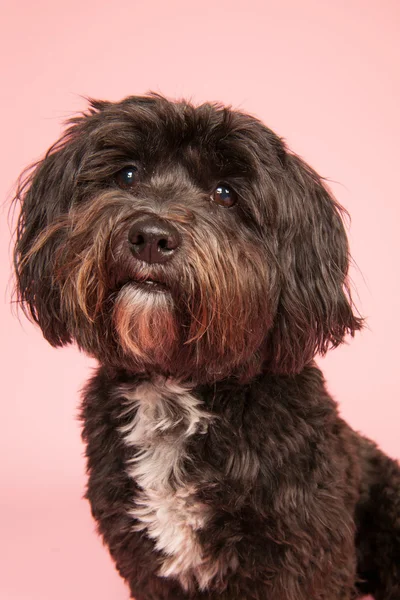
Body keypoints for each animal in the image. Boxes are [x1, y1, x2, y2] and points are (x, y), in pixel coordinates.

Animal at [12, 94, 400, 600]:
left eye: (225, 193)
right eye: (128, 174)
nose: (150, 236)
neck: (176, 384)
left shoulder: (304, 554)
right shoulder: (143, 557)